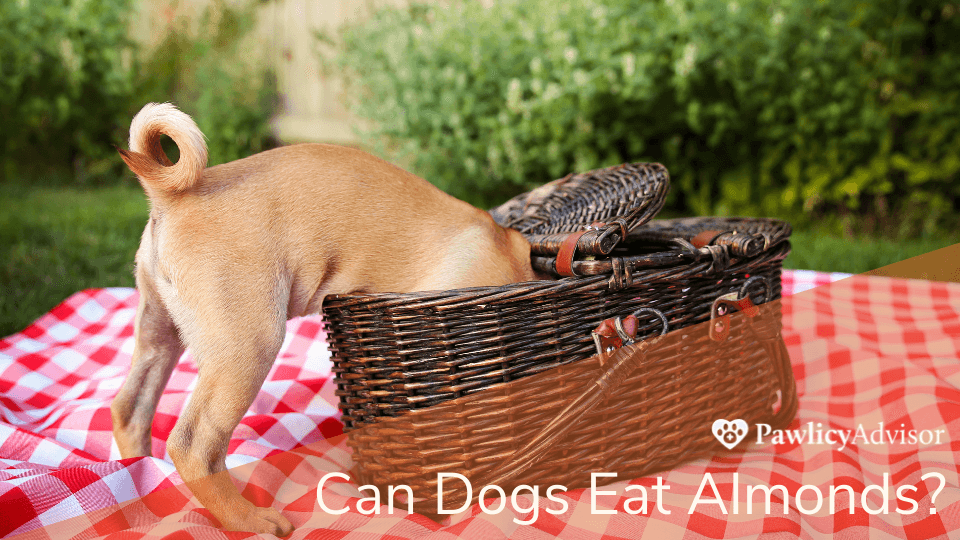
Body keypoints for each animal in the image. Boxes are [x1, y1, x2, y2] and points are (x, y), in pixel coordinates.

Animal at [110, 103, 540, 532]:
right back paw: (247, 520)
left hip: (159, 332)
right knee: (195, 446)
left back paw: (142, 475)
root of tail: (172, 196)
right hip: (248, 347)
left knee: (131, 408)